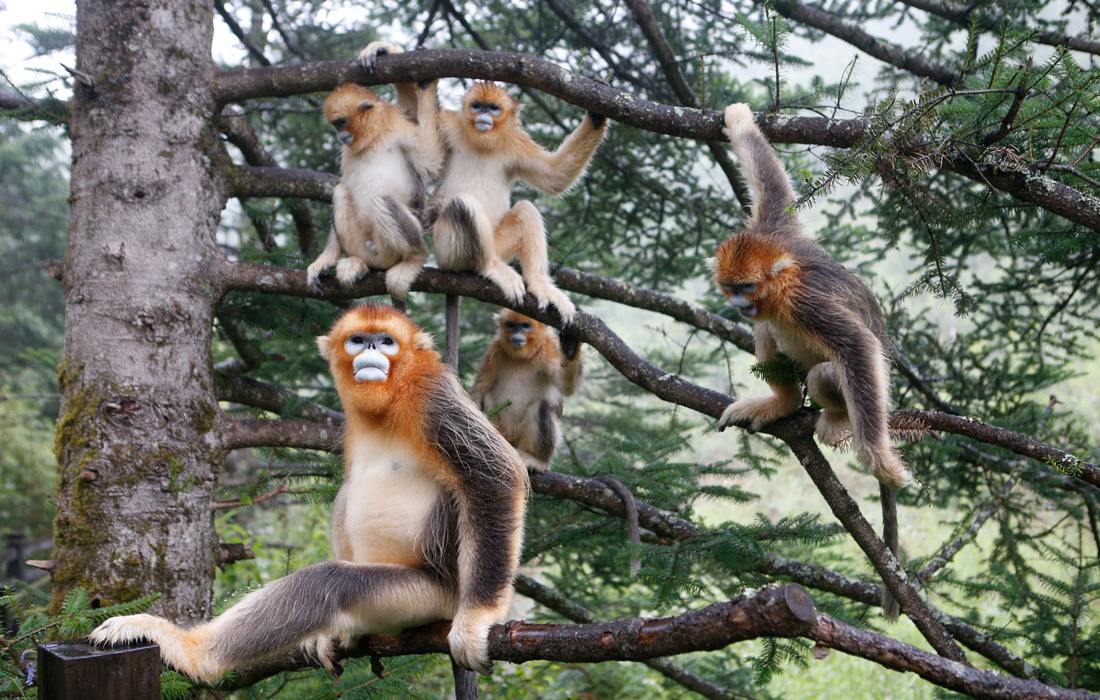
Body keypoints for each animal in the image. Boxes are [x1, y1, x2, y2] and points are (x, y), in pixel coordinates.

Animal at [90, 305, 528, 677]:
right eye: (358, 340)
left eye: (386, 341)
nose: (371, 350)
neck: (391, 396)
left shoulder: (432, 394)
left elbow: (494, 475)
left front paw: (479, 618)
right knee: (345, 496)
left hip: (427, 595)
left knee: (327, 584)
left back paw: (191, 651)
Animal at [305, 41, 442, 301]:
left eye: (341, 123)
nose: (340, 135)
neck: (375, 137)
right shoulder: (348, 150)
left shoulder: (398, 127)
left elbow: (431, 162)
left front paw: (426, 84)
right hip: (361, 243)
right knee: (341, 191)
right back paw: (357, 263)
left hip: (389, 248)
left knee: (380, 200)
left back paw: (414, 258)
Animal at [473, 310, 585, 471]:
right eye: (511, 325)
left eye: (525, 326)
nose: (516, 333)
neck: (522, 356)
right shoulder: (494, 350)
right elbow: (480, 389)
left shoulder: (548, 347)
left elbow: (566, 386)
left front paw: (571, 349)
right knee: (486, 397)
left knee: (541, 407)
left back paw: (537, 460)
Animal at [712, 102, 910, 616]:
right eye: (730, 287)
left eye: (746, 287)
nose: (737, 304)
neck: (781, 286)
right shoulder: (773, 230)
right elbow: (772, 186)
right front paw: (740, 122)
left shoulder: (805, 302)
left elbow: (858, 345)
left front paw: (880, 460)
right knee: (767, 333)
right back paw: (782, 401)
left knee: (826, 371)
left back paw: (837, 418)